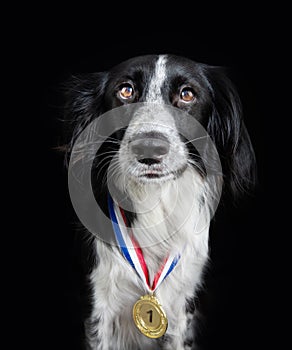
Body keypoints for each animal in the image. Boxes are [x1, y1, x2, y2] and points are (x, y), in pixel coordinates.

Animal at [61, 54, 256, 350]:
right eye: (126, 90)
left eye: (187, 94)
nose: (149, 148)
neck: (154, 203)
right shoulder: (98, 308)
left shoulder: (182, 310)